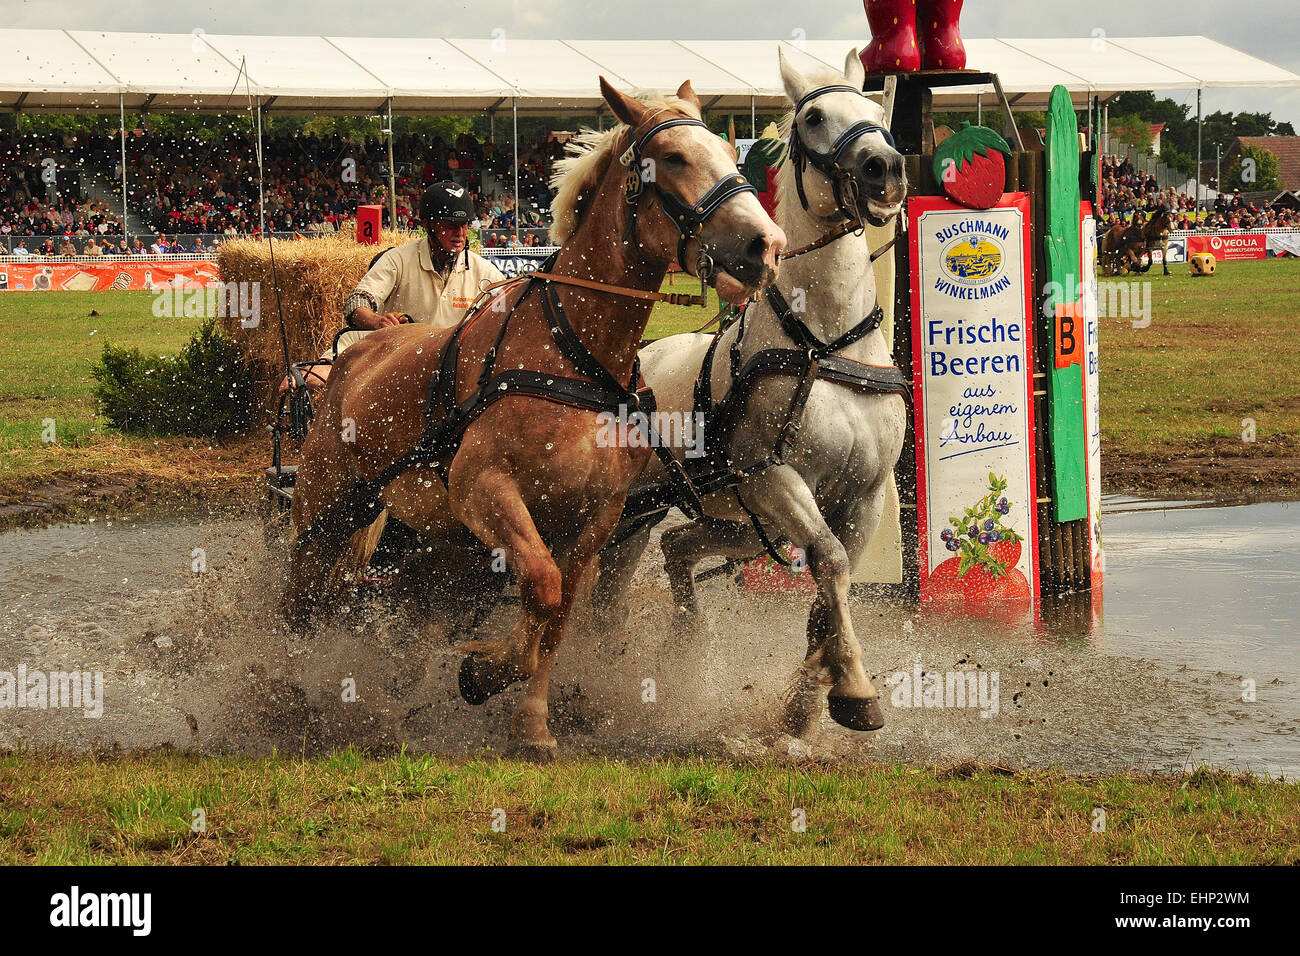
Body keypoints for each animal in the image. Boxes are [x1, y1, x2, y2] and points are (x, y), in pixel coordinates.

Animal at [287, 78, 780, 759]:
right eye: (675, 158)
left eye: (733, 154)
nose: (766, 244)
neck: (573, 353)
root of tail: (349, 358)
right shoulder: (483, 487)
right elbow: (542, 590)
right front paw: (484, 669)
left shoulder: (595, 518)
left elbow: (557, 613)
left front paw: (530, 718)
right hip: (326, 512)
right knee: (301, 604)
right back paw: (284, 689)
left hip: (438, 544)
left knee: (410, 605)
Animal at [595, 48, 909, 738]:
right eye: (815, 117)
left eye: (879, 115)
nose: (885, 169)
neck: (827, 342)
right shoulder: (773, 476)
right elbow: (830, 562)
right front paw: (852, 688)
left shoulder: (865, 494)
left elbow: (832, 582)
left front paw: (806, 697)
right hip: (645, 512)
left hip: (730, 521)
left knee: (676, 549)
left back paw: (682, 642)